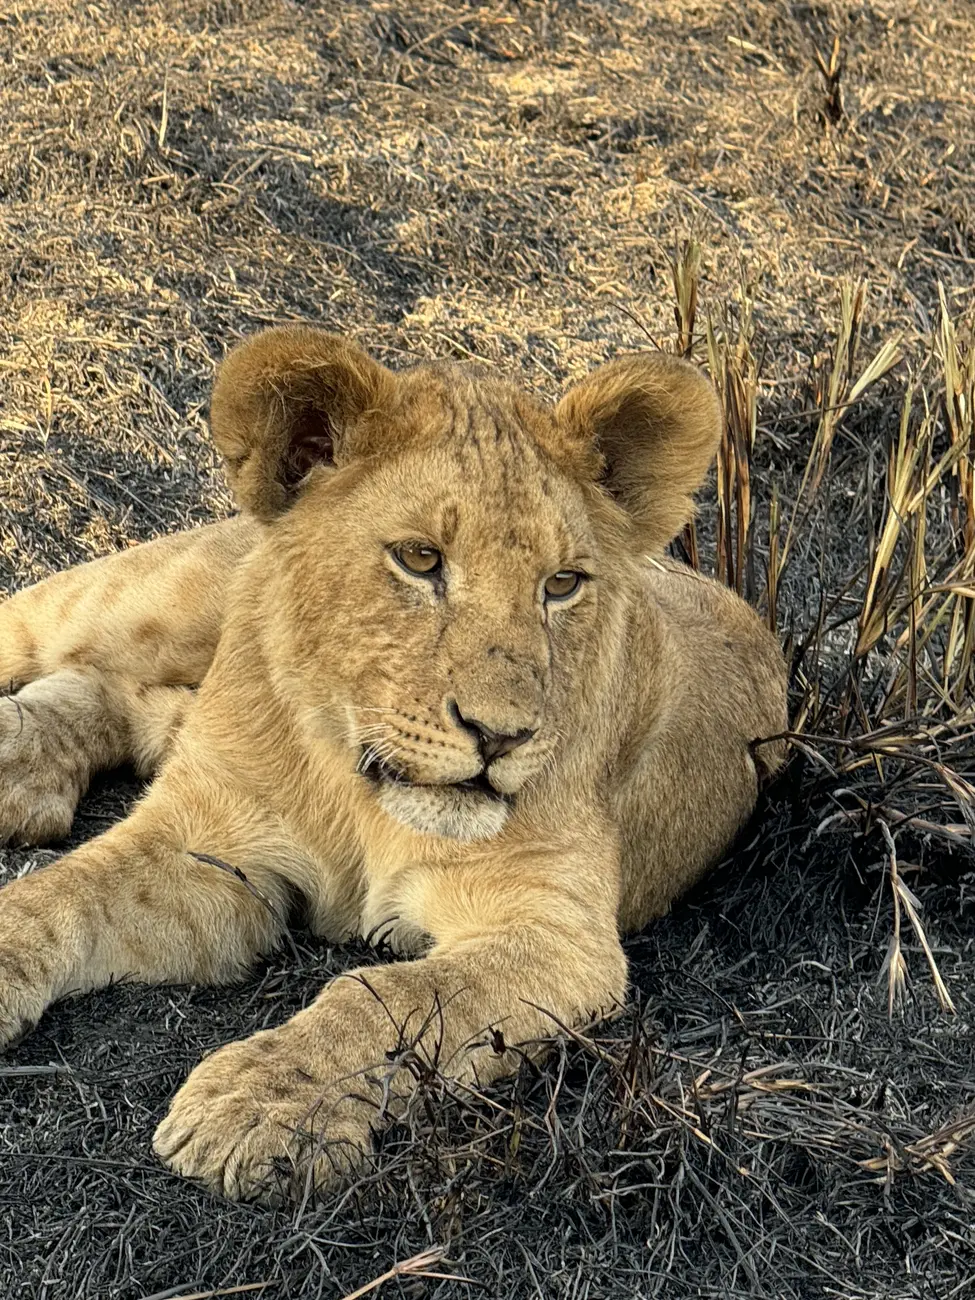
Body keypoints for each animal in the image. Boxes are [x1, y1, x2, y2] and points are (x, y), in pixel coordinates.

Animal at [0, 326, 787, 1202]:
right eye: (418, 559)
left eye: (561, 584)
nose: (502, 736)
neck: (359, 787)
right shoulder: (204, 846)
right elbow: (57, 896)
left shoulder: (558, 936)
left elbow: (391, 997)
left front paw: (257, 1105)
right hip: (137, 605)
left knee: (112, 693)